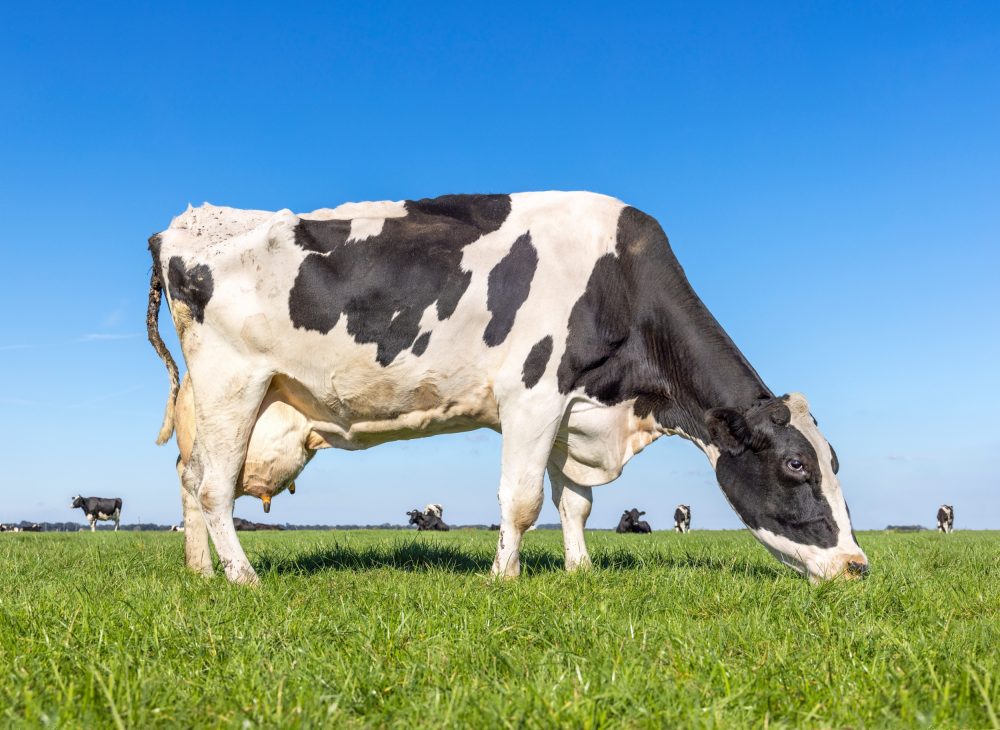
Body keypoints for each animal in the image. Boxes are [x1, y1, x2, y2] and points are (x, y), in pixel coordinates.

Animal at [147, 192, 868, 584]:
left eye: (835, 463)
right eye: (796, 466)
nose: (858, 566)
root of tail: (183, 223)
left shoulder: (574, 409)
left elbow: (574, 504)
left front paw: (580, 571)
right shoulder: (533, 394)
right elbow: (520, 501)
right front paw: (504, 576)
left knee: (192, 479)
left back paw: (202, 570)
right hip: (231, 383)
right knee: (214, 488)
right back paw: (243, 577)